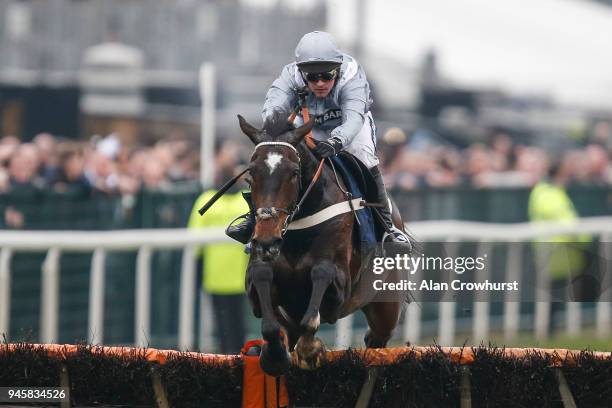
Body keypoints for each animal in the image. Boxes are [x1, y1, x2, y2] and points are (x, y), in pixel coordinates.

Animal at [237, 111, 408, 376]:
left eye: (294, 172)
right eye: (251, 173)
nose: (267, 237)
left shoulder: (341, 284)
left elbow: (321, 273)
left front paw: (310, 349)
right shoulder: (260, 265)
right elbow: (261, 277)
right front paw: (273, 354)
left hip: (386, 306)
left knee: (376, 339)